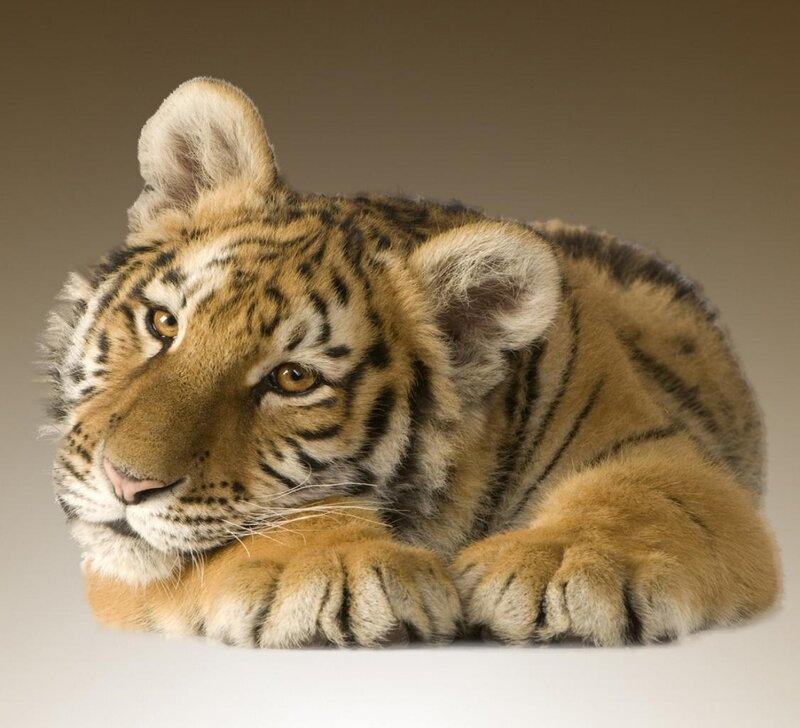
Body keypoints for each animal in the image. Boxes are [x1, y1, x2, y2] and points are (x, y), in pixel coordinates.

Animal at [44, 77, 780, 648]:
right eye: (164, 324)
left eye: (294, 378)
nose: (125, 484)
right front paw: (339, 567)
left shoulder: (671, 457)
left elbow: (642, 498)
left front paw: (560, 563)